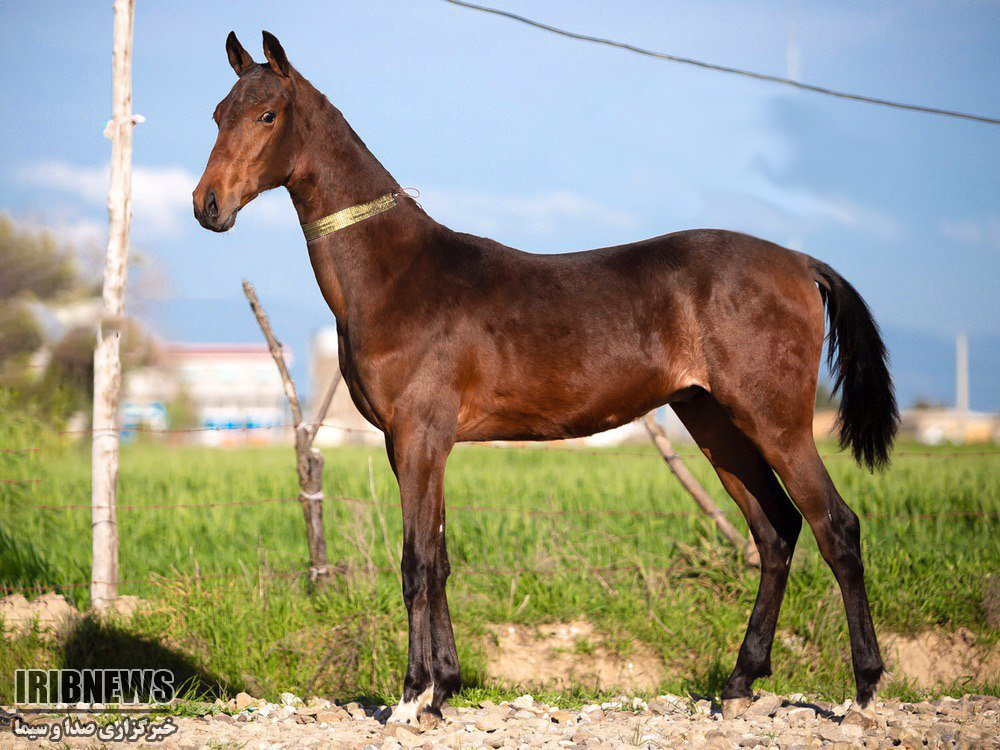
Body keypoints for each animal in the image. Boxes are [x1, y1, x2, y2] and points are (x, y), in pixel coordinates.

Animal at [191, 32, 896, 732]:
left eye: (267, 115)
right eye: (219, 113)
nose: (206, 206)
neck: (396, 275)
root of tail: (799, 263)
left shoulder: (418, 438)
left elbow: (417, 564)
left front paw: (410, 698)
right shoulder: (420, 445)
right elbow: (440, 561)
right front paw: (443, 691)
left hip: (774, 421)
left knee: (836, 528)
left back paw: (863, 692)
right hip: (714, 421)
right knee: (776, 532)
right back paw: (741, 682)